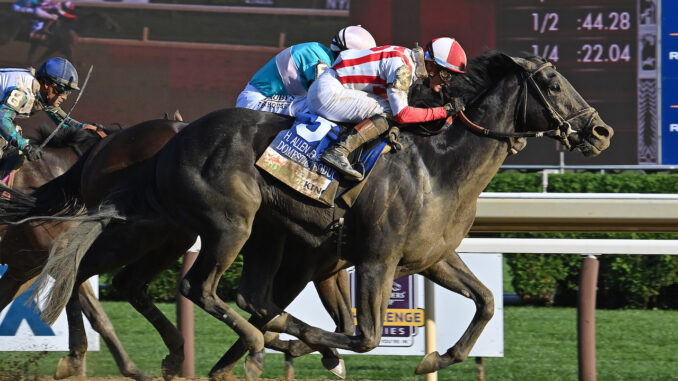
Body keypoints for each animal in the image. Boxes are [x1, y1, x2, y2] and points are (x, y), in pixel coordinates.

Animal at [11, 52, 616, 378]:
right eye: (554, 82)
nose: (601, 130)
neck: (439, 167)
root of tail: (167, 143)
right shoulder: (372, 259)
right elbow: (361, 335)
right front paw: (302, 348)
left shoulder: (429, 257)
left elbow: (486, 301)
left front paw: (433, 359)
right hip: (225, 226)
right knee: (191, 286)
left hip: (217, 234)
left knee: (131, 281)